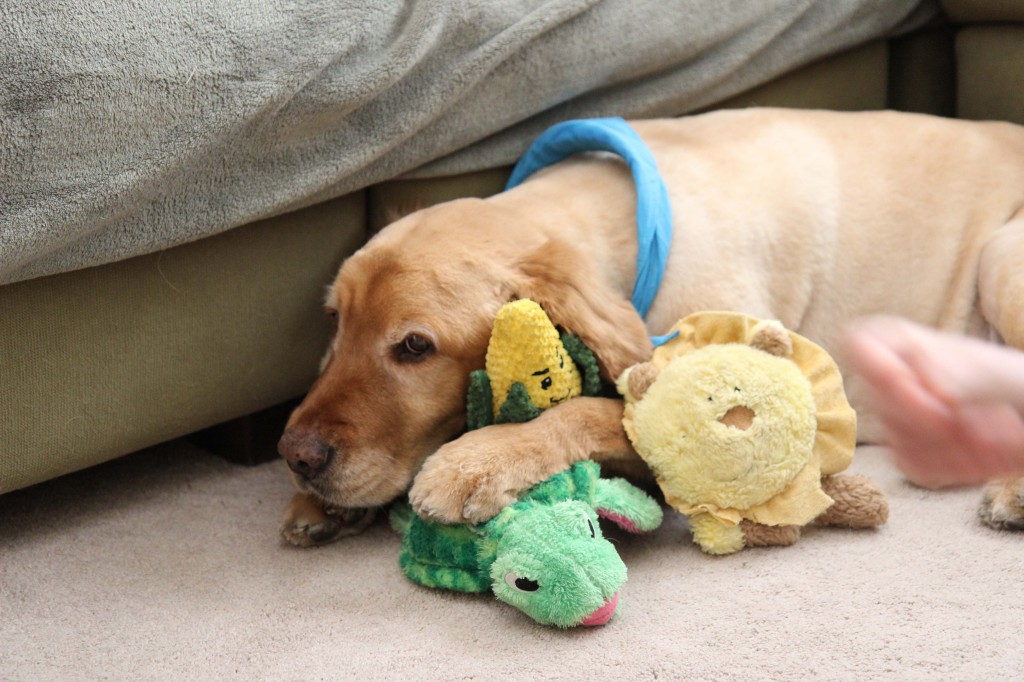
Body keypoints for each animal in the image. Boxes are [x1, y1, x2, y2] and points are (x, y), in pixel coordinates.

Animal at [276, 107, 1024, 540]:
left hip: (1000, 256)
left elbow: (588, 412)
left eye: (413, 346)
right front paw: (324, 508)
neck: (633, 225)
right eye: (336, 321)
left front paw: (475, 459)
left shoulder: (765, 415)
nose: (296, 457)